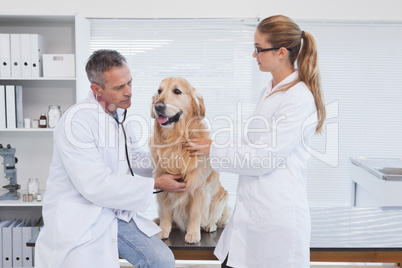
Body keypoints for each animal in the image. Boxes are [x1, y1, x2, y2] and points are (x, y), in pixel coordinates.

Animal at [151, 77, 229, 243]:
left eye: (177, 91)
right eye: (159, 91)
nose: (158, 106)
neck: (175, 140)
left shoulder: (198, 186)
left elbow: (195, 213)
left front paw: (193, 233)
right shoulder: (164, 185)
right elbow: (166, 212)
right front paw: (164, 230)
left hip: (221, 198)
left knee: (216, 217)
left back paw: (209, 226)